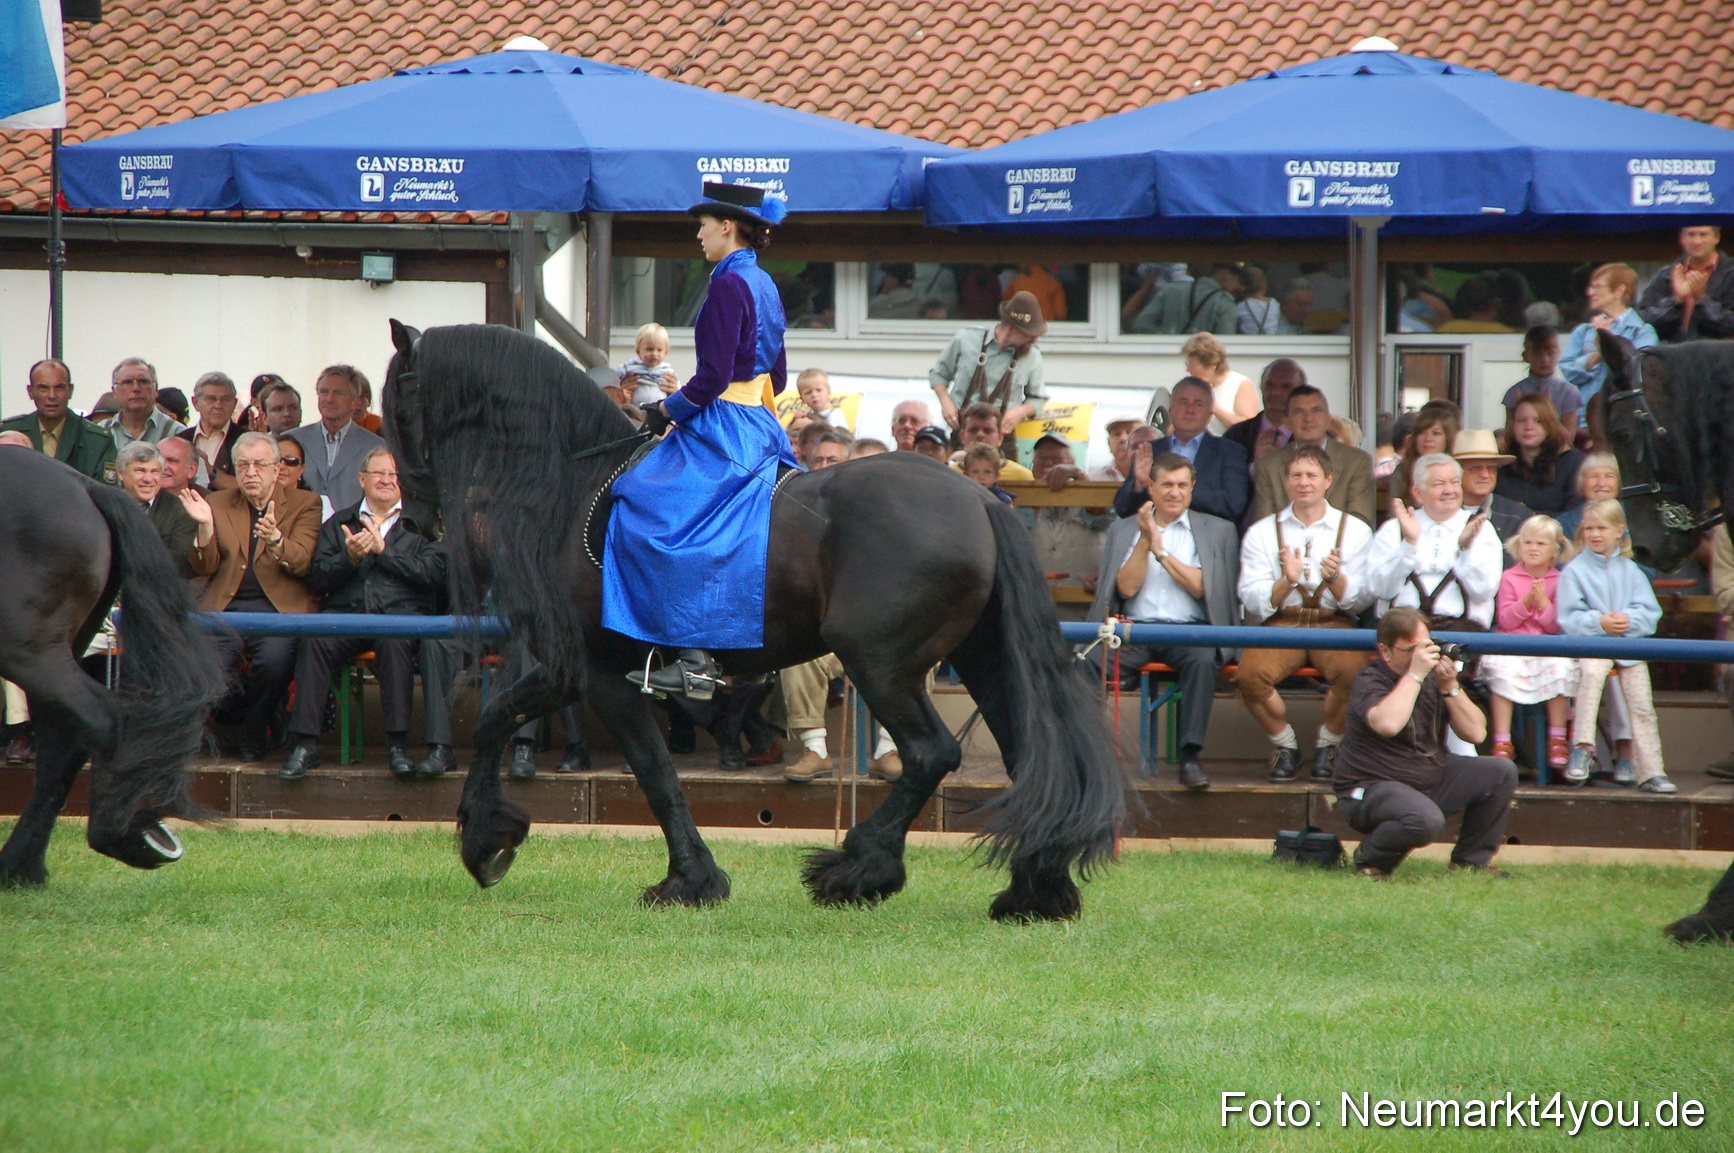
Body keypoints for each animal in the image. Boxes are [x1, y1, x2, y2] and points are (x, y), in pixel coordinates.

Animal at [381, 320, 1126, 921]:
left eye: (395, 405)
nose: (411, 522)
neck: (571, 487)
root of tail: (980, 499)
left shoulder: (598, 672)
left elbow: (650, 771)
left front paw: (686, 879)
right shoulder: (574, 669)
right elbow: (498, 717)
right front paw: (490, 841)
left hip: (880, 663)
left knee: (932, 754)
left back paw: (858, 870)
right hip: (982, 658)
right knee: (1030, 757)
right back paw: (1035, 889)